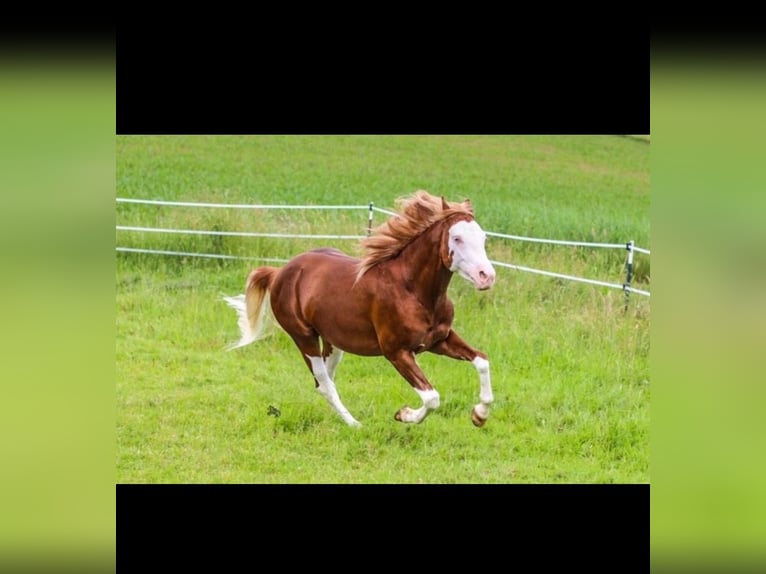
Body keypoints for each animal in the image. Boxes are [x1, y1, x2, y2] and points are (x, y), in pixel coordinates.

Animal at [223, 190, 496, 427]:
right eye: (457, 238)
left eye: (483, 237)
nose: (487, 276)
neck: (413, 291)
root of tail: (280, 272)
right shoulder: (396, 352)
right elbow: (432, 398)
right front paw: (403, 415)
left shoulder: (439, 340)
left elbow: (482, 360)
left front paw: (479, 416)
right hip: (304, 338)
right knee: (325, 383)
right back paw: (355, 425)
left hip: (334, 342)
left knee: (323, 382)